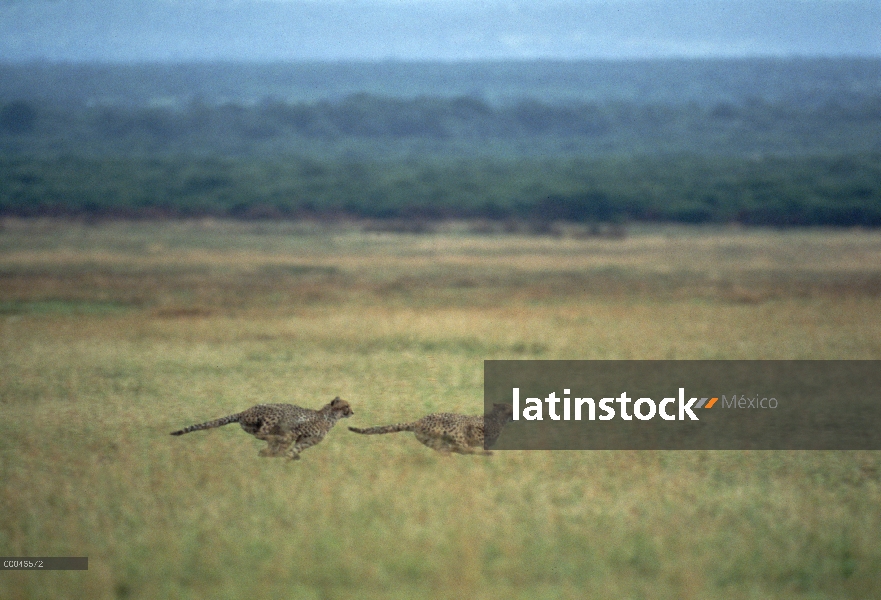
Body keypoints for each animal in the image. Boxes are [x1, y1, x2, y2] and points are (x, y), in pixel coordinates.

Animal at [170, 398, 352, 460]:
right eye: (346, 406)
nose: (353, 412)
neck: (330, 417)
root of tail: (243, 412)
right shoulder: (295, 432)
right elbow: (286, 444)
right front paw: (278, 453)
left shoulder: (306, 441)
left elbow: (293, 450)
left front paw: (286, 457)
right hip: (275, 413)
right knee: (262, 434)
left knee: (263, 436)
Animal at [348, 404, 512, 454]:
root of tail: (418, 421)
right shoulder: (472, 427)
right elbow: (476, 437)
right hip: (452, 430)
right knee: (461, 447)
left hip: (434, 442)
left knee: (452, 449)